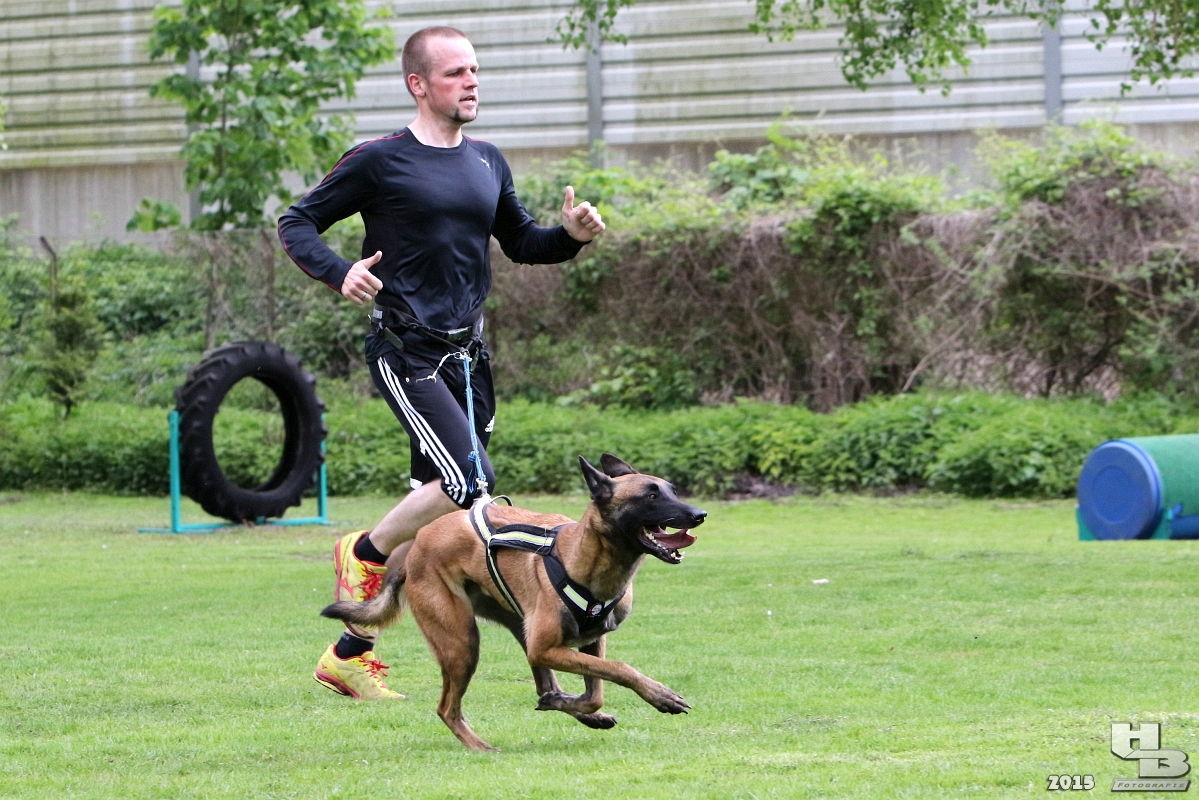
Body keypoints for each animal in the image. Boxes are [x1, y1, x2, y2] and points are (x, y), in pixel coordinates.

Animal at [321, 453, 707, 751]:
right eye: (651, 496)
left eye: (672, 490)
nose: (699, 514)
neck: (584, 558)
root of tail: (414, 549)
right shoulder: (547, 647)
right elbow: (619, 669)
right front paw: (661, 695)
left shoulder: (589, 641)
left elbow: (596, 687)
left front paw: (577, 706)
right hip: (462, 643)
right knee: (447, 708)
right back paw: (480, 747)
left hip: (517, 629)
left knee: (543, 685)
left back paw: (569, 707)